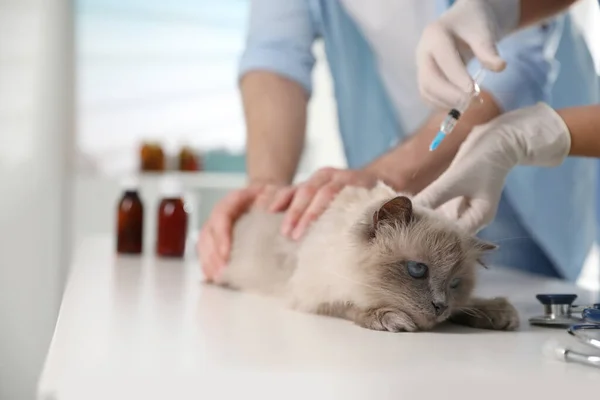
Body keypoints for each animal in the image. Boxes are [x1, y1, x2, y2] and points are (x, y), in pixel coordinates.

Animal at [213, 181, 516, 332]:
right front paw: (390, 318)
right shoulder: (313, 295)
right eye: (417, 270)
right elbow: (352, 306)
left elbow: (467, 306)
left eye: (455, 284)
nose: (440, 306)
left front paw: (495, 312)